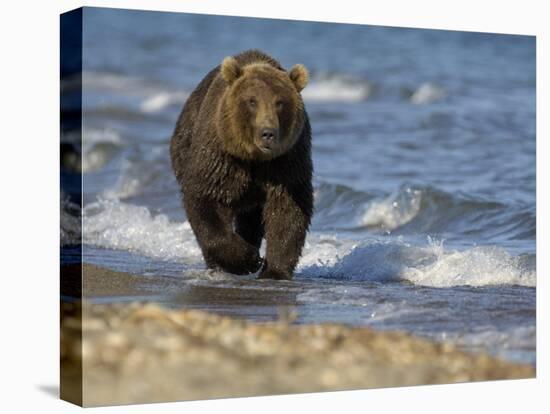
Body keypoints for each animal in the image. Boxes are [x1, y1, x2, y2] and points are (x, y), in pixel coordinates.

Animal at [170, 50, 312, 280]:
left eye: (280, 102)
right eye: (252, 101)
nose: (268, 133)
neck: (253, 158)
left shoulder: (286, 162)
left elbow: (288, 210)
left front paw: (274, 270)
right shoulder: (220, 157)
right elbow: (205, 199)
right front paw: (248, 259)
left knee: (252, 219)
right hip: (184, 145)